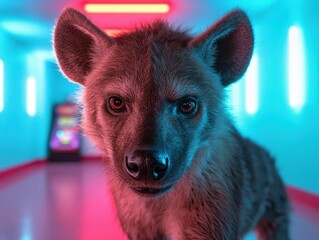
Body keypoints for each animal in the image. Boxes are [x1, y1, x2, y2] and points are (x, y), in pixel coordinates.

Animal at [53, 7, 290, 240]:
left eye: (187, 105)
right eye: (116, 102)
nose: (146, 163)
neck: (159, 206)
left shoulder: (210, 223)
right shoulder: (138, 227)